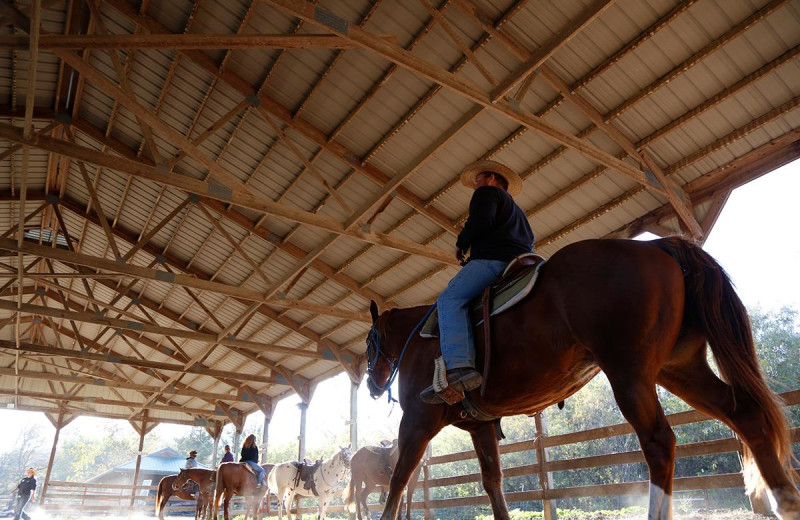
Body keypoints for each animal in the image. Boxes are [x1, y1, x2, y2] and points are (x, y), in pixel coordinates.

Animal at [364, 238, 800, 520]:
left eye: (369, 343)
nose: (370, 383)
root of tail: (657, 245)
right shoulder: (481, 426)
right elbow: (493, 483)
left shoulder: (416, 421)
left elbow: (399, 478)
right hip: (681, 370)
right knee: (746, 415)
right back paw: (785, 500)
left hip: (628, 373)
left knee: (659, 442)